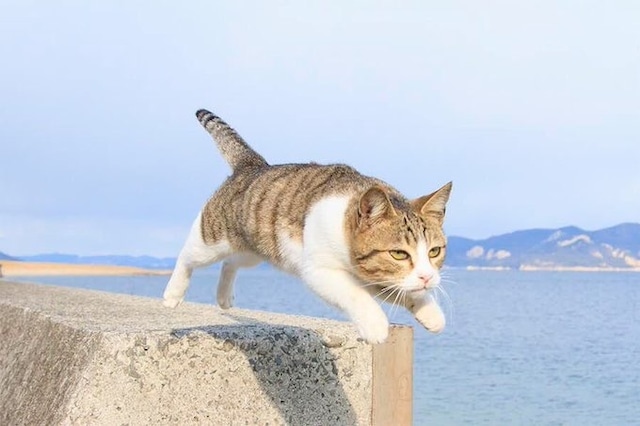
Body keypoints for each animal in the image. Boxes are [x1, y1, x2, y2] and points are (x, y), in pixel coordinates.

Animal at [164, 108, 456, 344]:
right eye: (398, 254)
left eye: (434, 251)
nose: (427, 277)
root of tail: (252, 165)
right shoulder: (319, 270)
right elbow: (357, 295)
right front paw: (376, 325)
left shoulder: (381, 277)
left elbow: (403, 289)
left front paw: (430, 312)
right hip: (213, 239)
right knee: (189, 255)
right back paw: (172, 294)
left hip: (255, 248)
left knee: (231, 262)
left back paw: (224, 297)